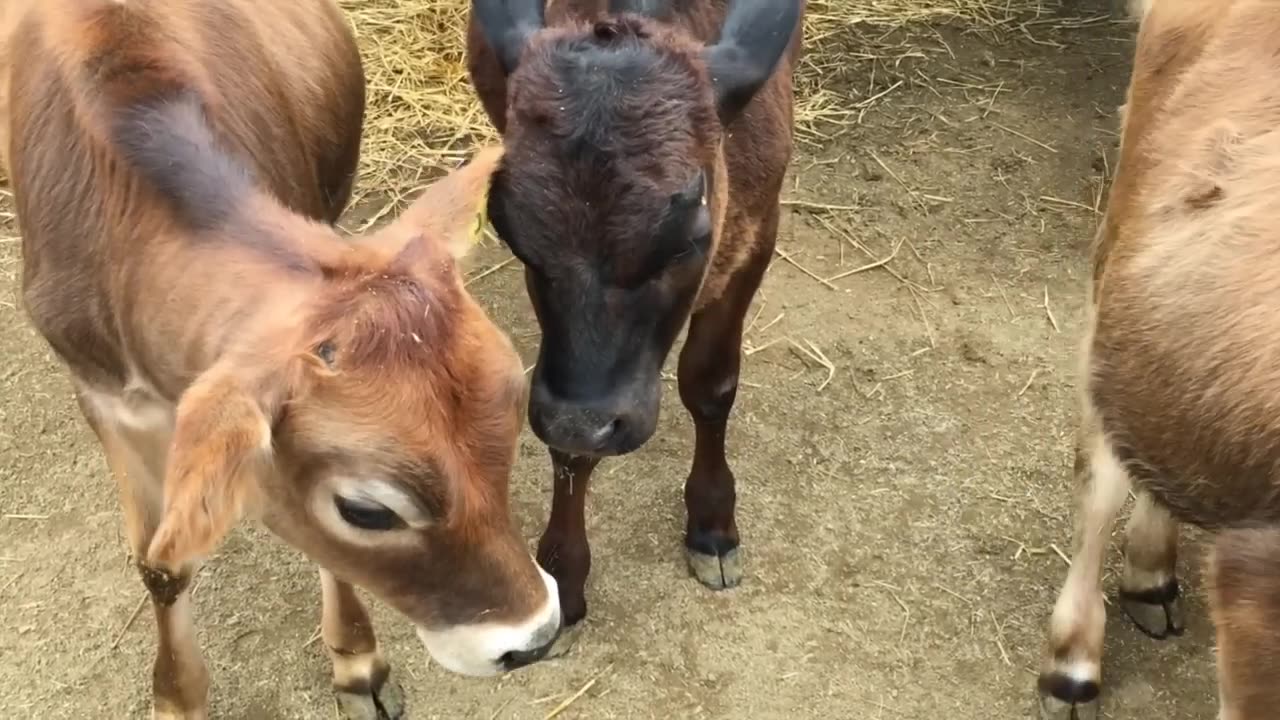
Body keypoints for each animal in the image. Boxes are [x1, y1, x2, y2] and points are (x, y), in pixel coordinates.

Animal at [3, 1, 560, 717]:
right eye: (367, 511)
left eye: (511, 436)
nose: (533, 638)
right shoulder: (102, 394)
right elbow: (161, 564)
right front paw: (176, 695)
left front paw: (357, 661)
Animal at [465, 0, 803, 622]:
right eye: (513, 234)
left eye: (688, 239)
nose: (583, 420)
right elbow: (570, 451)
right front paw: (564, 570)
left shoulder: (756, 234)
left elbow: (711, 385)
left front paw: (712, 522)